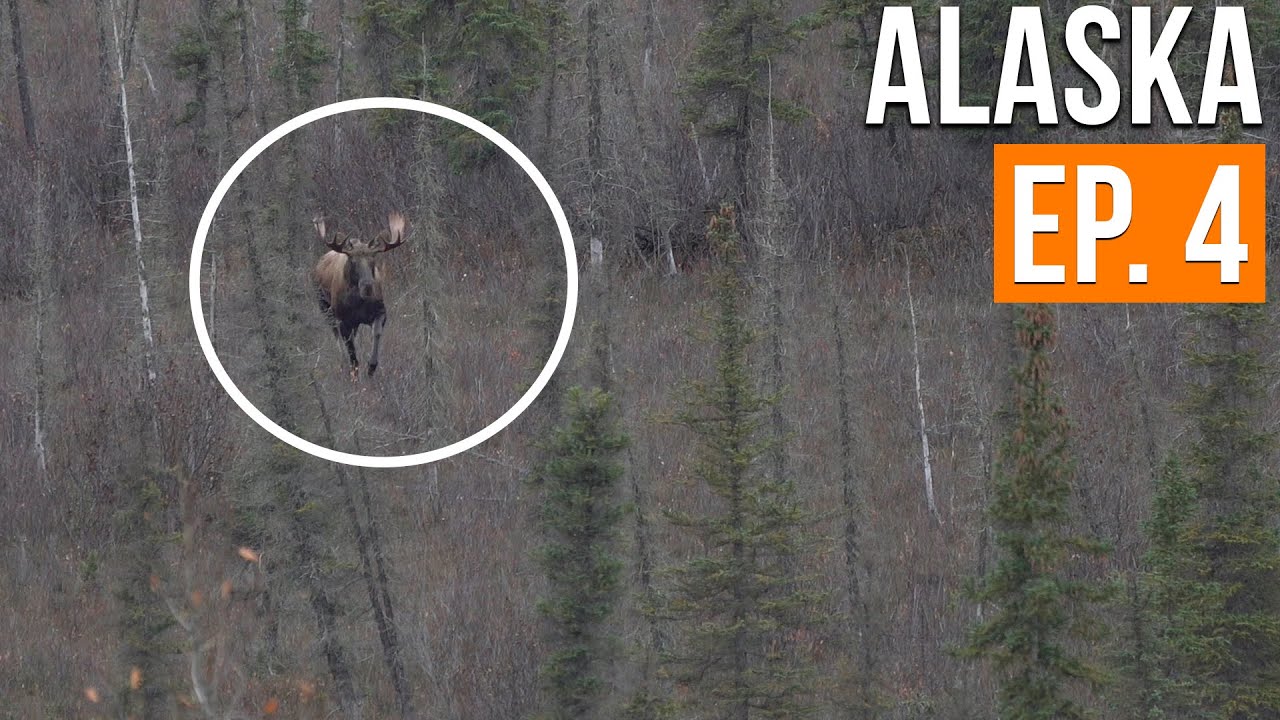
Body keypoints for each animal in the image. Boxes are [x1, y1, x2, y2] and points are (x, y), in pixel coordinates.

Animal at [311, 212, 407, 377]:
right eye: (352, 261)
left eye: (373, 260)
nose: (367, 286)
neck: (359, 304)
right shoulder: (343, 320)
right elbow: (352, 353)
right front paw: (354, 373)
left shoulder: (380, 312)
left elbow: (376, 333)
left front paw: (371, 366)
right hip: (325, 307)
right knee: (336, 336)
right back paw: (343, 363)